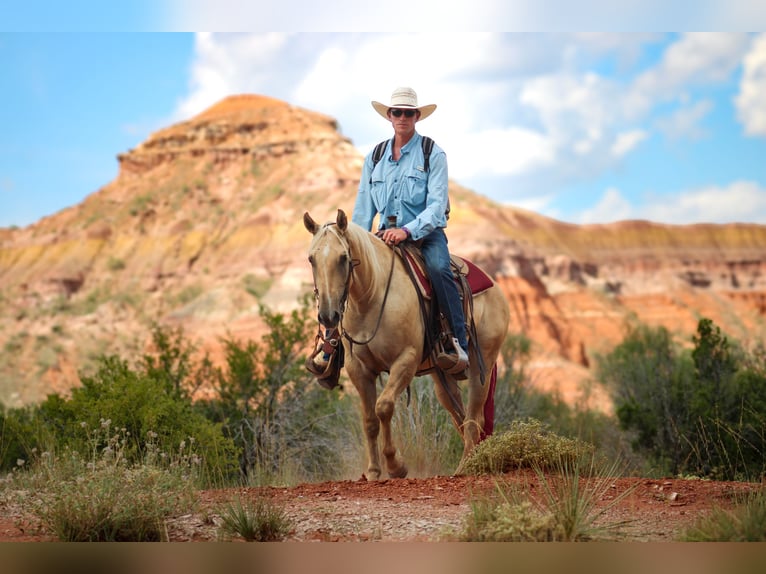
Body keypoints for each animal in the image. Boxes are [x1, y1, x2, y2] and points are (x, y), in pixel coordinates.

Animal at [304, 209, 510, 478]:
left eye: (342, 258)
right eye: (311, 259)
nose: (328, 316)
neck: (371, 298)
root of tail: (496, 290)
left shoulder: (405, 360)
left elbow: (383, 407)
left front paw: (396, 466)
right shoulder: (358, 369)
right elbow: (369, 420)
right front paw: (373, 471)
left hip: (481, 366)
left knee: (475, 419)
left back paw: (465, 468)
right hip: (442, 377)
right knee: (461, 417)